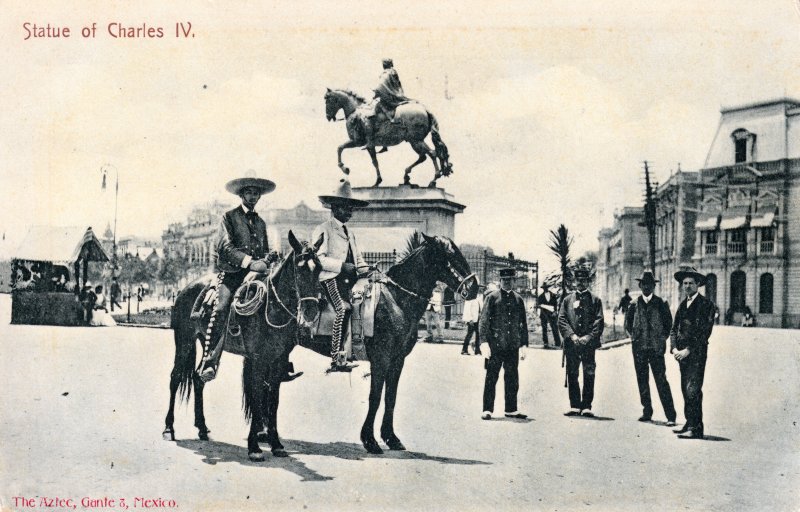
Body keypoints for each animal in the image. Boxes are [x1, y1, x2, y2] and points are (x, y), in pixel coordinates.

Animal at [163, 232, 322, 460]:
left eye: (319, 268)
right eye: (299, 268)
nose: (311, 311)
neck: (270, 307)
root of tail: (185, 289)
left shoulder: (278, 360)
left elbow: (272, 399)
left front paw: (276, 444)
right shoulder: (257, 360)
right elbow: (256, 396)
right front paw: (254, 446)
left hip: (206, 342)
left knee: (198, 378)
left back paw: (202, 428)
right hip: (183, 340)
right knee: (175, 377)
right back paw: (169, 428)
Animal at [302, 234, 476, 454]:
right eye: (448, 254)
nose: (475, 287)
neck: (396, 299)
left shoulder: (397, 360)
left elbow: (390, 397)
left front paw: (391, 437)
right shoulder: (381, 359)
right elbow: (375, 397)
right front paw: (370, 440)